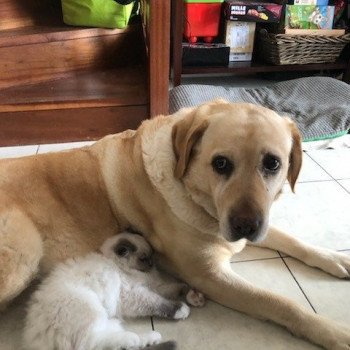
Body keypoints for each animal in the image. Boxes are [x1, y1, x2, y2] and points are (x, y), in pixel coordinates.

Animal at [23, 232, 204, 350]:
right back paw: (151, 338)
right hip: (92, 310)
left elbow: (177, 287)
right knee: (97, 343)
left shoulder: (152, 286)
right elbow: (159, 303)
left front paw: (193, 295)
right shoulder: (135, 294)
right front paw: (182, 309)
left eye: (152, 255)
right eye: (144, 258)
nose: (152, 264)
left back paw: (152, 339)